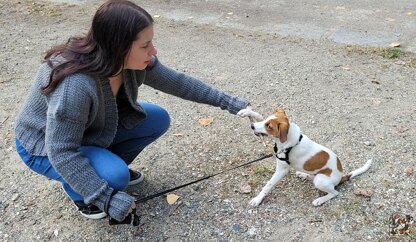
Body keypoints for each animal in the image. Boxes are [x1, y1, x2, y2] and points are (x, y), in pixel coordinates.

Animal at [239, 107, 372, 206]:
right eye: (266, 120)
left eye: (269, 127)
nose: (252, 126)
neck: (288, 141)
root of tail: (341, 176)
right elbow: (258, 115)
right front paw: (246, 112)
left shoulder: (282, 170)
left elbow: (268, 185)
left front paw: (257, 199)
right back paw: (303, 174)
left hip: (320, 180)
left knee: (334, 192)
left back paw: (319, 200)